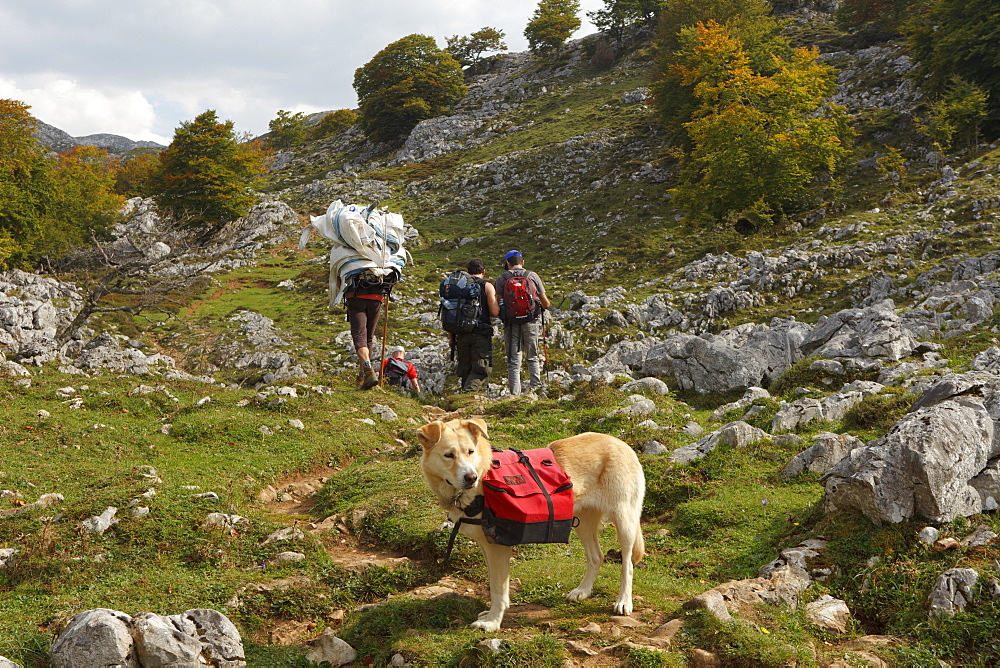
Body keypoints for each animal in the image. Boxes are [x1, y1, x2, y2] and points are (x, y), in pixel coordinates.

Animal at [416, 418, 644, 632]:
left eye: (470, 452)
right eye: (448, 455)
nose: (471, 477)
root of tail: (620, 442)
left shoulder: (498, 548)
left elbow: (498, 590)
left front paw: (492, 622)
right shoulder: (486, 544)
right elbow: (494, 584)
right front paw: (491, 615)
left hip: (624, 520)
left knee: (628, 565)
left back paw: (624, 601)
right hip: (583, 523)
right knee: (597, 556)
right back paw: (583, 590)